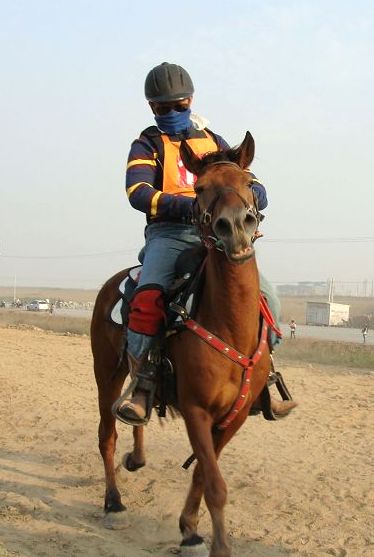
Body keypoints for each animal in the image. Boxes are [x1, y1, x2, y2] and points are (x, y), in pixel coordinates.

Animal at [90, 131, 272, 556]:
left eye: (249, 182)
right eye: (200, 189)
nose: (235, 226)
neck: (229, 326)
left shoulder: (235, 415)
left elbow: (204, 475)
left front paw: (189, 528)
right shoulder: (195, 410)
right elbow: (215, 484)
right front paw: (216, 545)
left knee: (136, 407)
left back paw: (136, 451)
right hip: (105, 373)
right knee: (107, 434)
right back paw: (113, 502)